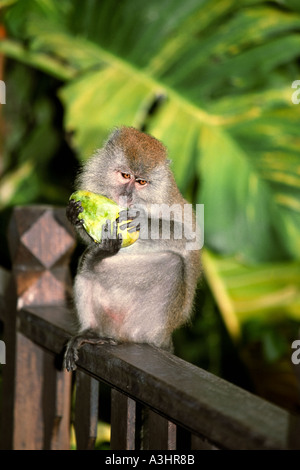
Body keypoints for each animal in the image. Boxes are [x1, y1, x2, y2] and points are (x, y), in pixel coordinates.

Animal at [64, 126, 203, 372]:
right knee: (85, 265)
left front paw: (141, 220)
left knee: (173, 264)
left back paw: (99, 259)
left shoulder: (167, 200)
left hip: (149, 324)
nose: (127, 196)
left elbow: (189, 237)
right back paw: (91, 331)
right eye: (125, 176)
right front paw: (75, 216)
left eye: (141, 182)